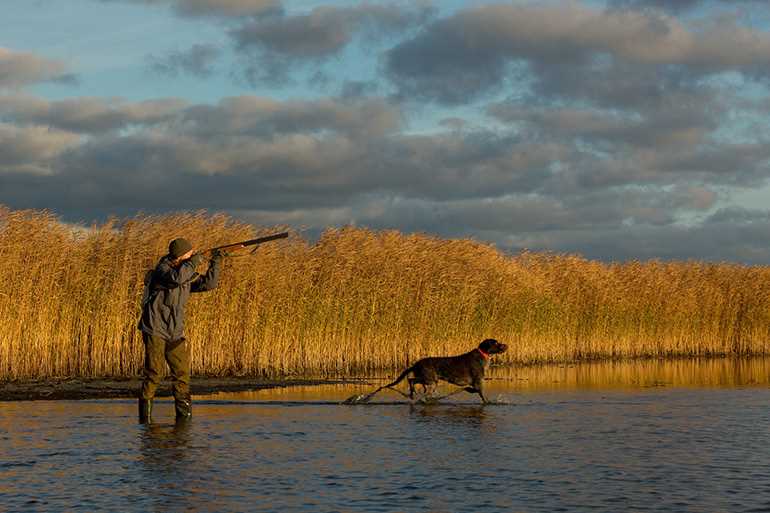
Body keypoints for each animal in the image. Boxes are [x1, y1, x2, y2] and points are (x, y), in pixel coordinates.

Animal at [352, 338, 508, 402]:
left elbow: (473, 391)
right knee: (411, 380)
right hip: (430, 379)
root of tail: (416, 364)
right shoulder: (477, 382)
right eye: (496, 343)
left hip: (430, 381)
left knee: (415, 382)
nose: (506, 345)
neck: (483, 355)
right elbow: (482, 396)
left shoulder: (474, 384)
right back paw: (413, 393)